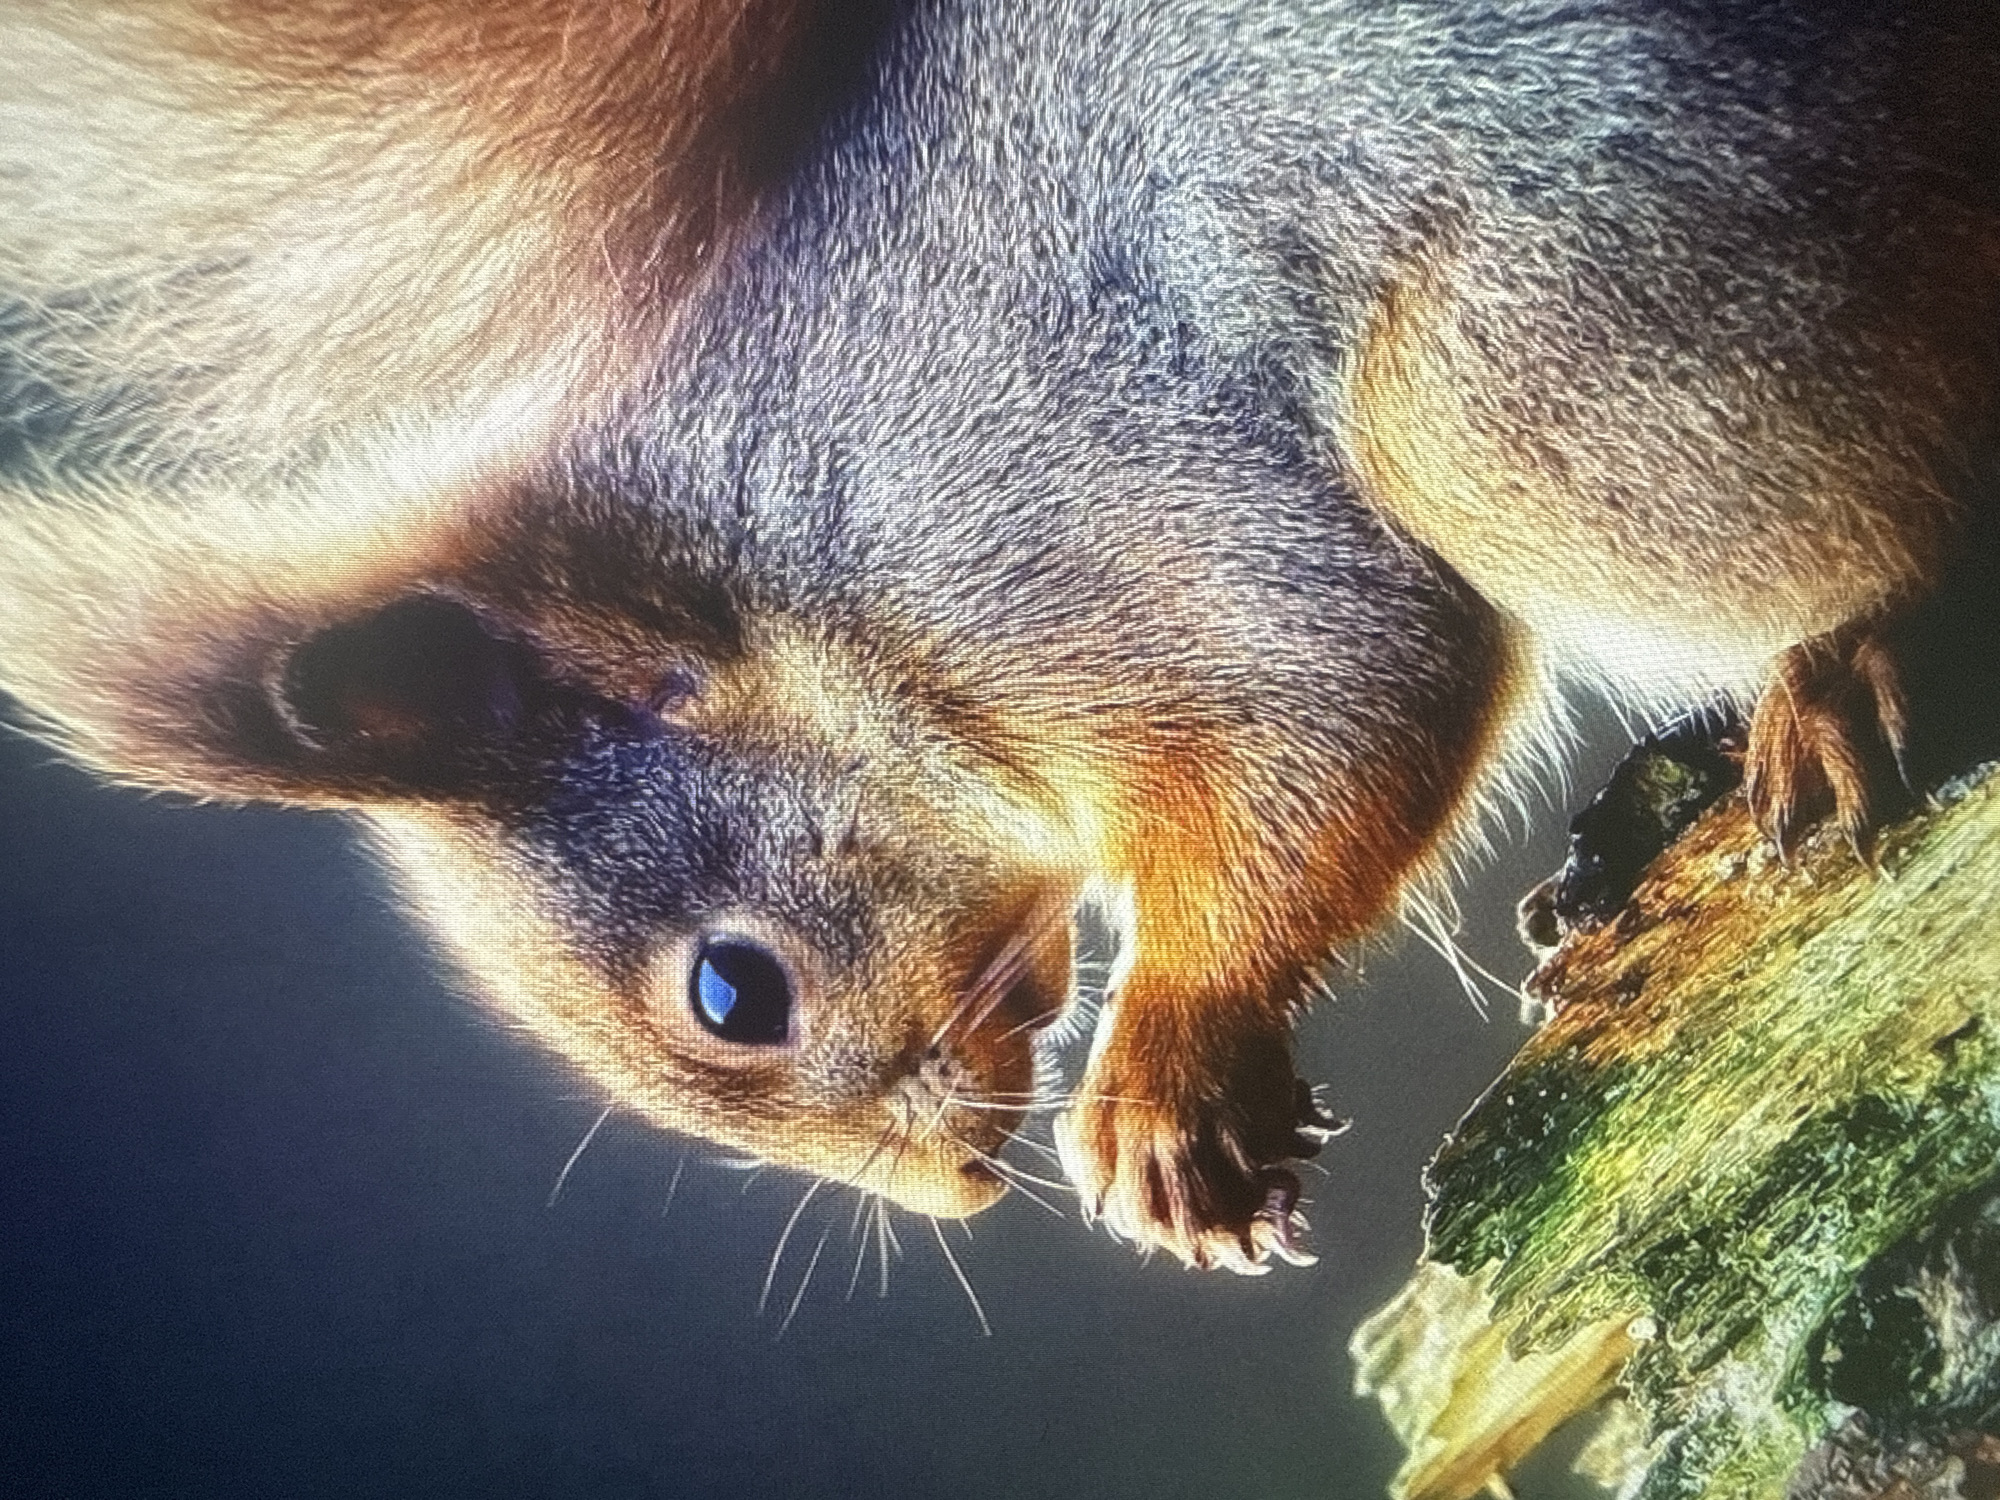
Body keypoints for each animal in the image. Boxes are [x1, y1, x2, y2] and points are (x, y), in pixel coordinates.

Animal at [3, 0, 1998, 1274]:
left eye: (734, 995)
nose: (953, 1192)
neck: (815, 579)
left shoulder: (1098, 523)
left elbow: (1340, 704)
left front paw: (1169, 1074)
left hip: (1545, 379)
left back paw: (1829, 679)